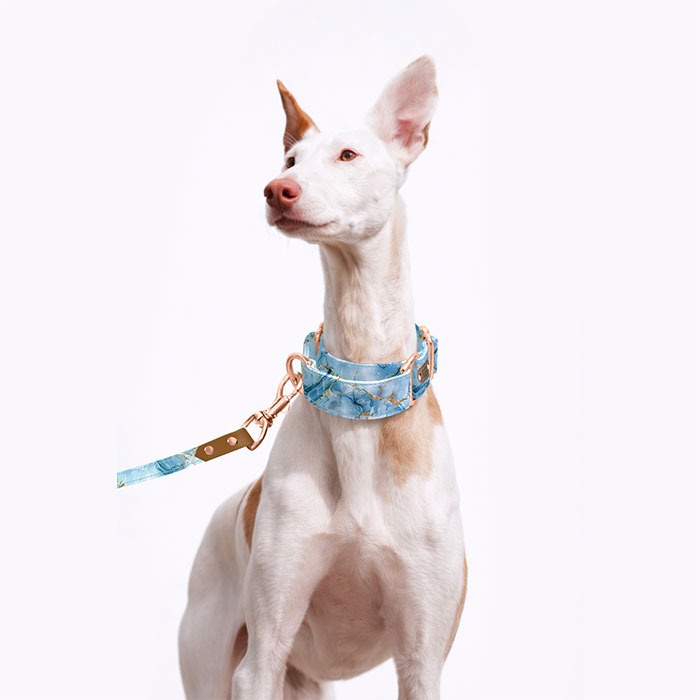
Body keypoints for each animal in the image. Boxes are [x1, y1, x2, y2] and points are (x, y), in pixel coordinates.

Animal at [179, 56, 466, 700]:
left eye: (348, 155)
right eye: (290, 160)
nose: (275, 190)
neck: (360, 389)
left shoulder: (422, 659)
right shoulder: (260, 660)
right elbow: (258, 659)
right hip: (218, 661)